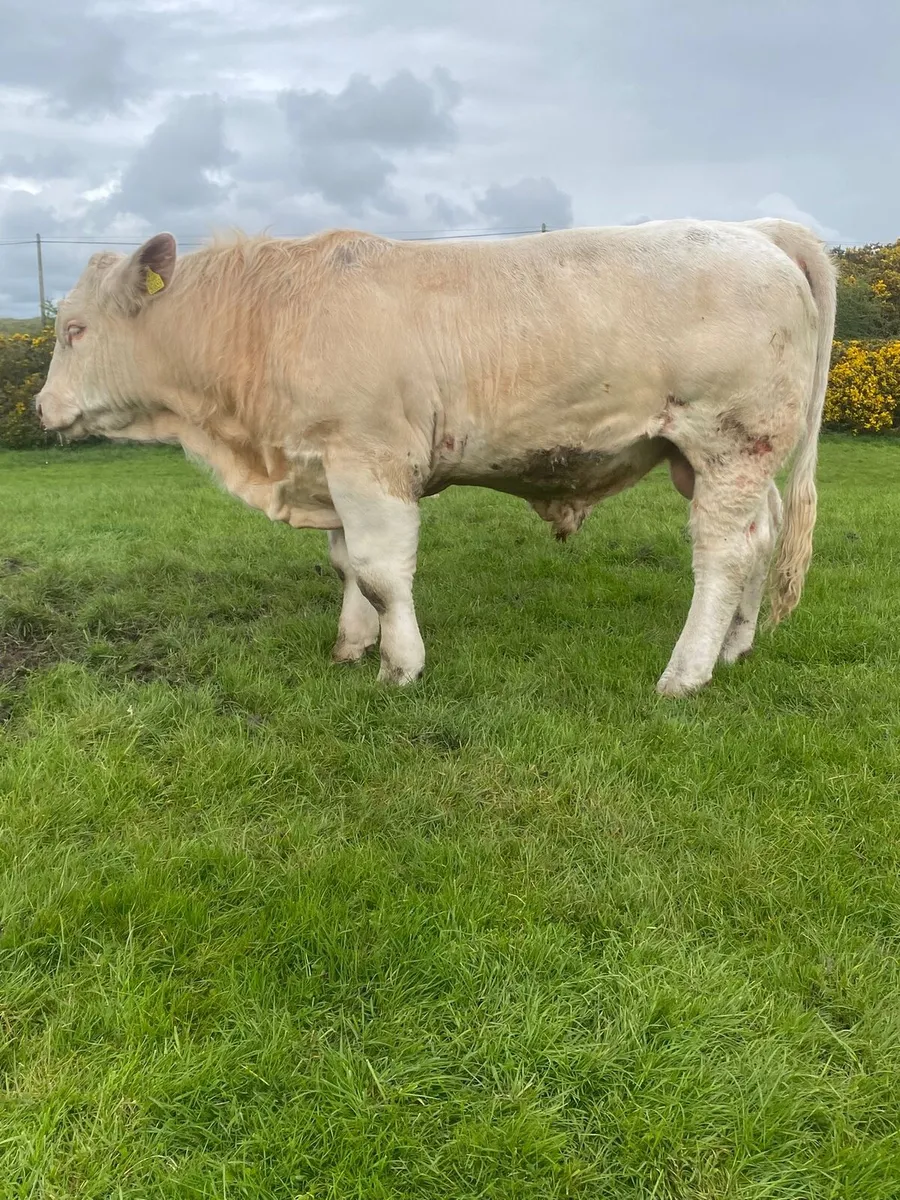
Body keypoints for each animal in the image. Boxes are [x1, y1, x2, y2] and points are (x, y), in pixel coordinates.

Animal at [34, 217, 836, 696]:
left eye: (74, 330)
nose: (41, 408)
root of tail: (756, 230)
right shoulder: (329, 462)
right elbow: (345, 564)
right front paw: (352, 645)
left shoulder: (371, 458)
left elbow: (381, 570)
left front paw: (401, 666)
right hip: (719, 458)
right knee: (761, 537)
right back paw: (736, 648)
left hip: (729, 439)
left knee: (724, 554)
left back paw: (686, 673)